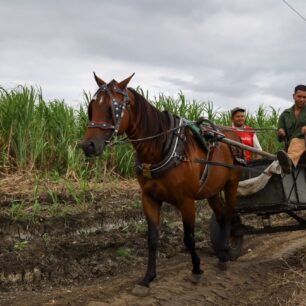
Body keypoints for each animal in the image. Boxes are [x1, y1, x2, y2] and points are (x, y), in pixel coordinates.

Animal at [80, 73, 241, 296]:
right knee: (222, 214)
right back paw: (222, 254)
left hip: (231, 184)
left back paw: (227, 250)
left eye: (113, 108)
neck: (160, 148)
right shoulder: (149, 198)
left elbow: (189, 238)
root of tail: (231, 135)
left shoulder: (186, 200)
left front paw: (196, 270)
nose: (88, 146)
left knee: (230, 214)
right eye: (92, 106)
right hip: (212, 190)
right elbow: (152, 238)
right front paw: (147, 278)